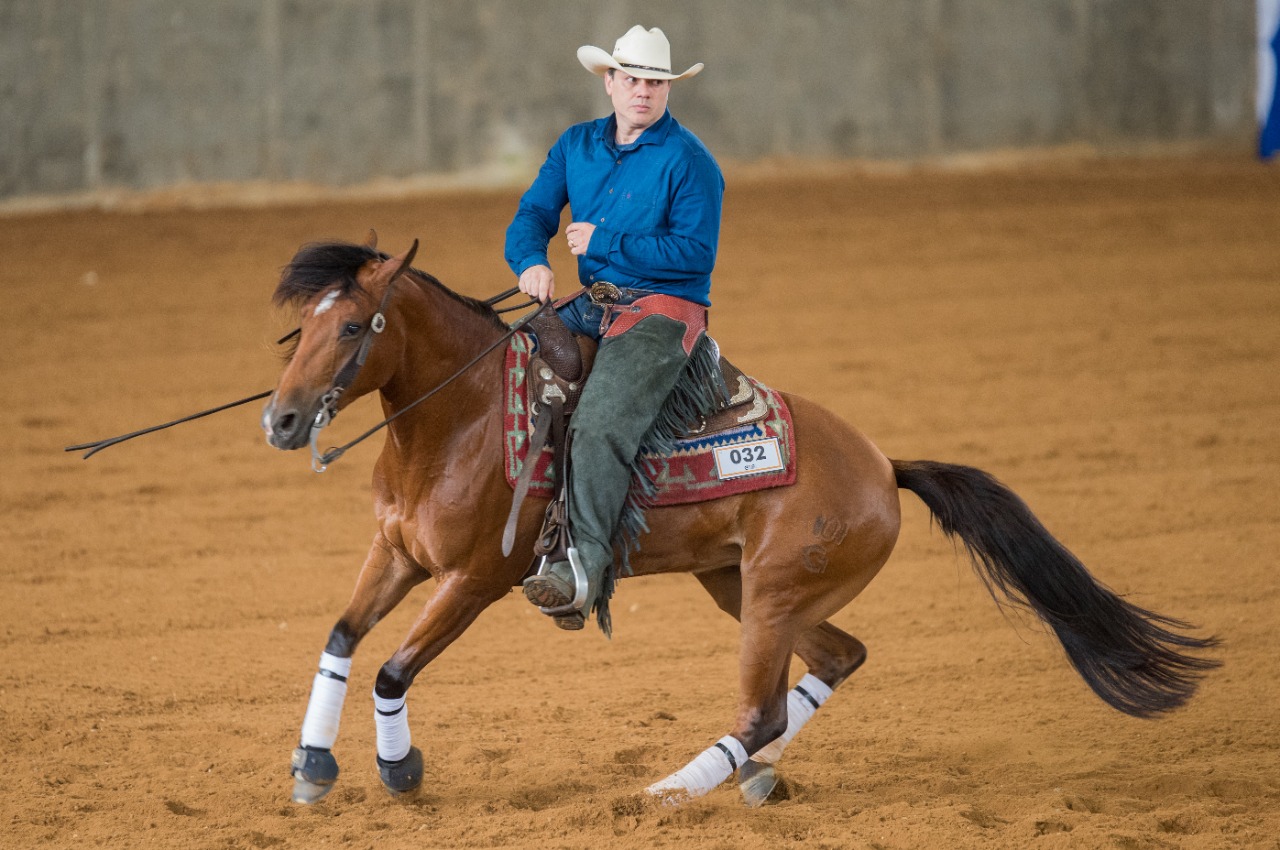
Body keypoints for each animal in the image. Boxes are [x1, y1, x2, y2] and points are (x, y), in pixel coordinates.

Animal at [259, 235, 1218, 809]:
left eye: (354, 326)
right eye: (297, 329)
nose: (280, 420)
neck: (463, 420)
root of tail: (884, 465)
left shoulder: (477, 580)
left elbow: (392, 667)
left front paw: (399, 769)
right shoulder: (396, 552)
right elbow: (341, 637)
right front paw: (313, 767)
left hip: (770, 597)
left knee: (759, 708)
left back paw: (671, 792)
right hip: (750, 590)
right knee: (839, 660)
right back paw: (754, 780)